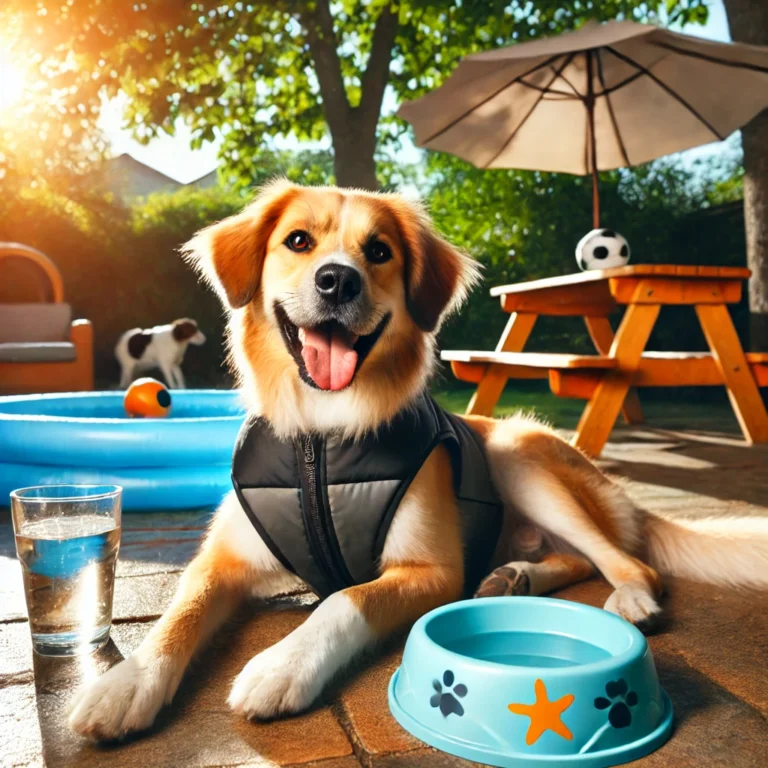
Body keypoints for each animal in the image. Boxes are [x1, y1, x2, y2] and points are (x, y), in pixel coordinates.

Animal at [67, 178, 768, 736]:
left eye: (378, 251)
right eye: (298, 241)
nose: (337, 279)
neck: (323, 435)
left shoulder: (429, 571)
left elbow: (344, 600)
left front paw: (282, 664)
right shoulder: (222, 562)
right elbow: (176, 615)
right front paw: (125, 684)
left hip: (515, 452)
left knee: (628, 561)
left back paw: (626, 599)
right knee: (569, 557)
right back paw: (511, 576)